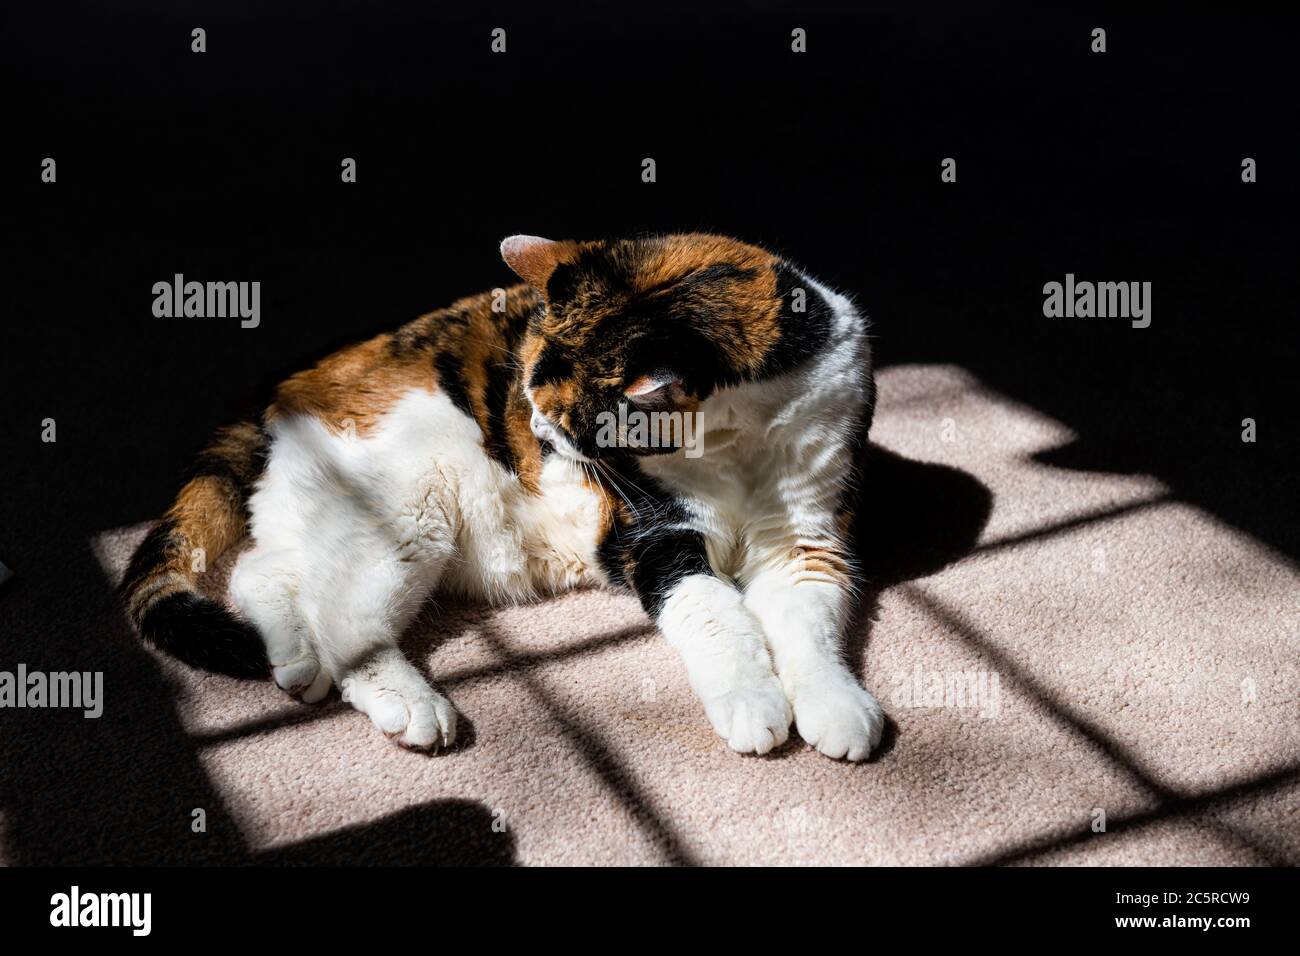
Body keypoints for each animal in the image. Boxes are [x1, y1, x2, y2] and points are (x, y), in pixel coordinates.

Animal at [122, 238, 883, 764]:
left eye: (570, 417)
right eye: (529, 394)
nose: (539, 434)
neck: (739, 446)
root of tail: (292, 383)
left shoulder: (808, 540)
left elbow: (811, 627)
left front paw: (835, 707)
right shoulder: (653, 533)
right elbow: (715, 614)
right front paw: (752, 701)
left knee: (264, 571)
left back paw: (293, 659)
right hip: (413, 503)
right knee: (342, 622)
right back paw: (408, 704)